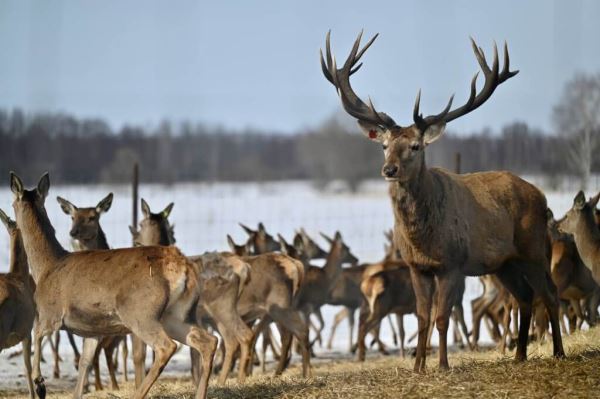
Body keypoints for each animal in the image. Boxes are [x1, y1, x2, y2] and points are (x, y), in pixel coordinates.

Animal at [322, 31, 564, 372]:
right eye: (384, 145)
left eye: (415, 146)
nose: (389, 170)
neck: (422, 238)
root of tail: (541, 196)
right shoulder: (417, 267)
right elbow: (423, 317)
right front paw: (417, 367)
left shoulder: (452, 263)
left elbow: (441, 317)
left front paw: (443, 365)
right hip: (505, 262)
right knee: (525, 296)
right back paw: (519, 356)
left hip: (534, 248)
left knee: (550, 293)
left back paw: (558, 352)